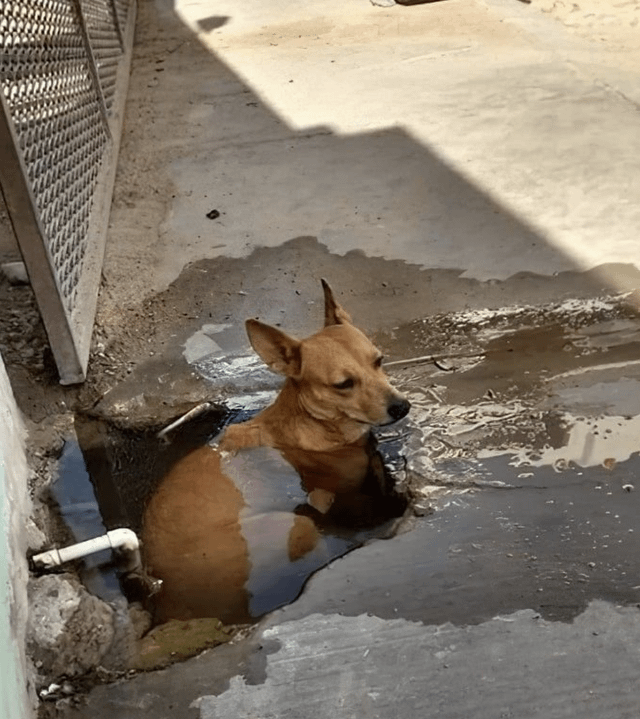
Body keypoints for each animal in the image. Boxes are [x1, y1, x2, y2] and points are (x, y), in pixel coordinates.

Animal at [142, 281, 410, 624]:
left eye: (379, 360)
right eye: (343, 384)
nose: (402, 407)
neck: (308, 422)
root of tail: (169, 603)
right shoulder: (341, 494)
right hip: (295, 527)